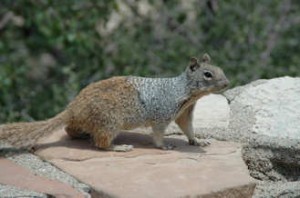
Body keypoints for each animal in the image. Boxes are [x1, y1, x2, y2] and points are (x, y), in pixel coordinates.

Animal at [0, 54, 230, 152]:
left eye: (221, 69)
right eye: (208, 74)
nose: (227, 83)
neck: (186, 93)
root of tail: (72, 108)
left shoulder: (184, 113)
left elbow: (188, 128)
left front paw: (198, 141)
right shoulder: (162, 114)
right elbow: (158, 134)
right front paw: (164, 145)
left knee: (69, 130)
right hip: (109, 123)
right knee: (101, 144)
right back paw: (119, 147)